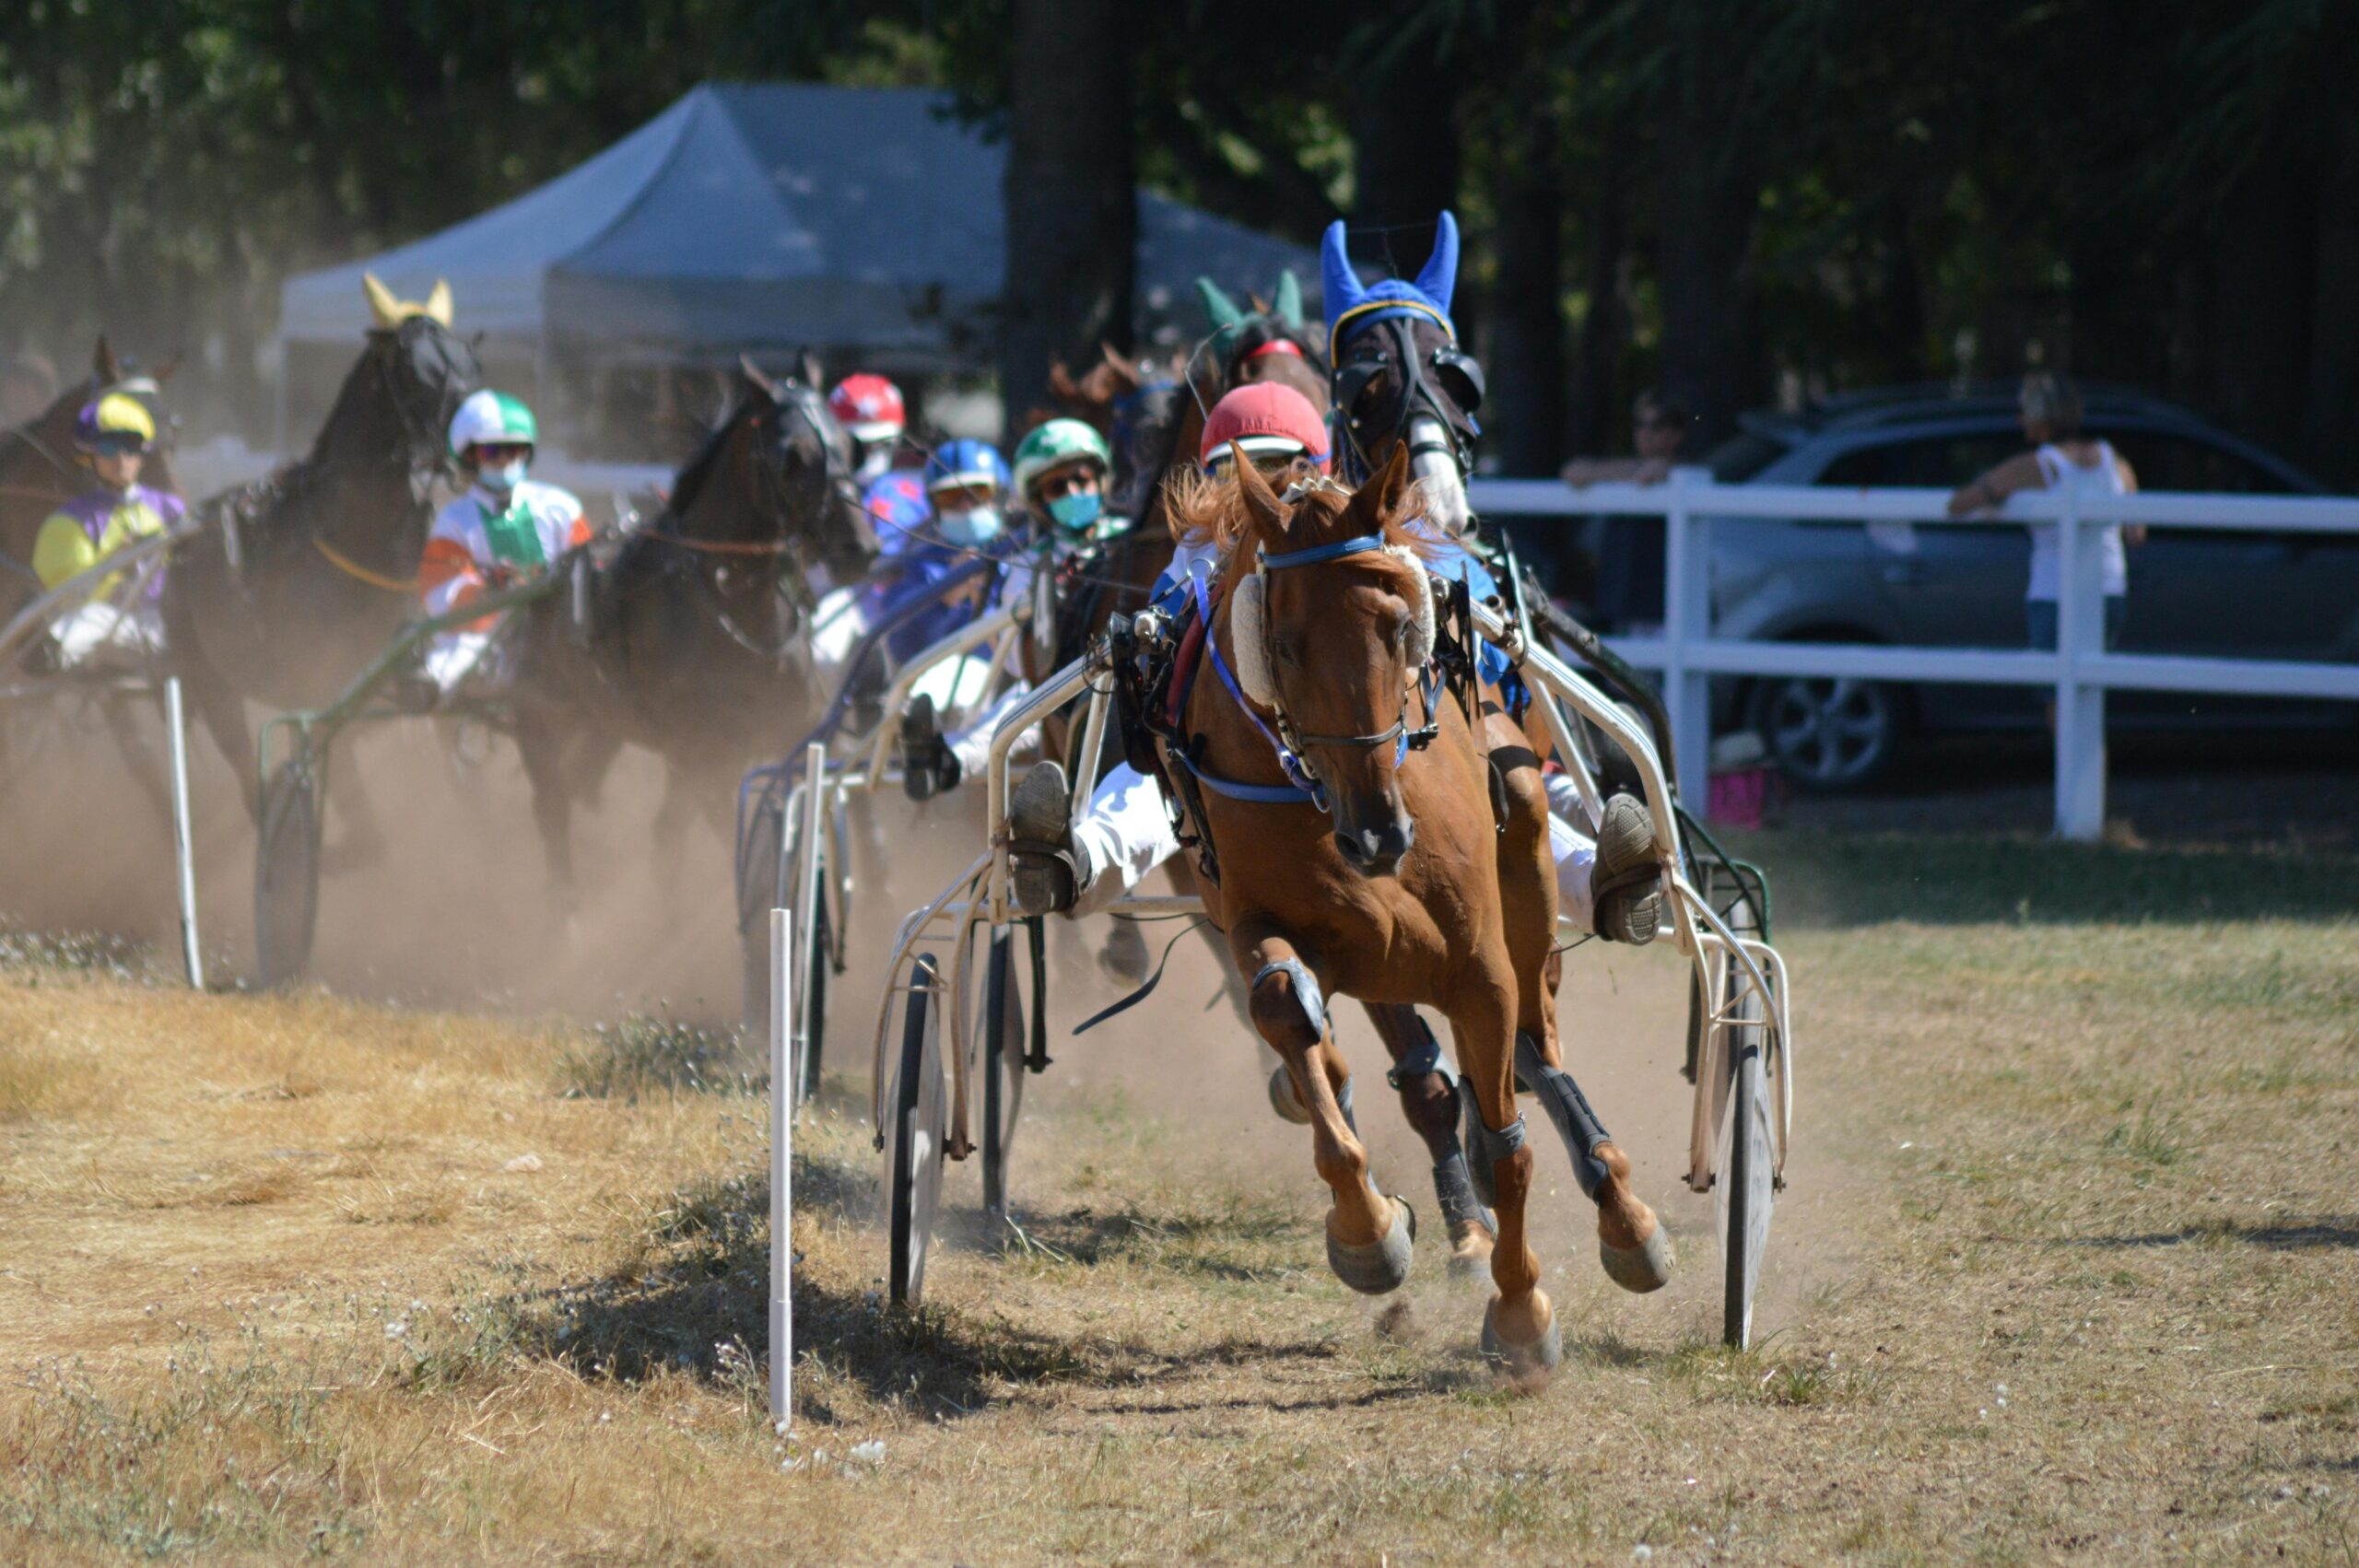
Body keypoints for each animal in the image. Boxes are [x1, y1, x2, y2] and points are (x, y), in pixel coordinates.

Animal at [1169, 445, 1670, 1376]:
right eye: (1281, 645)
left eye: (1402, 629)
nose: (1377, 832)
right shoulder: (1272, 927)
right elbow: (1288, 1012)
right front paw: (1369, 1231)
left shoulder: (1478, 967)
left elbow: (1511, 1144)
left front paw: (1521, 1312)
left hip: (1521, 841)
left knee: (1539, 1038)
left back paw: (1619, 1204)